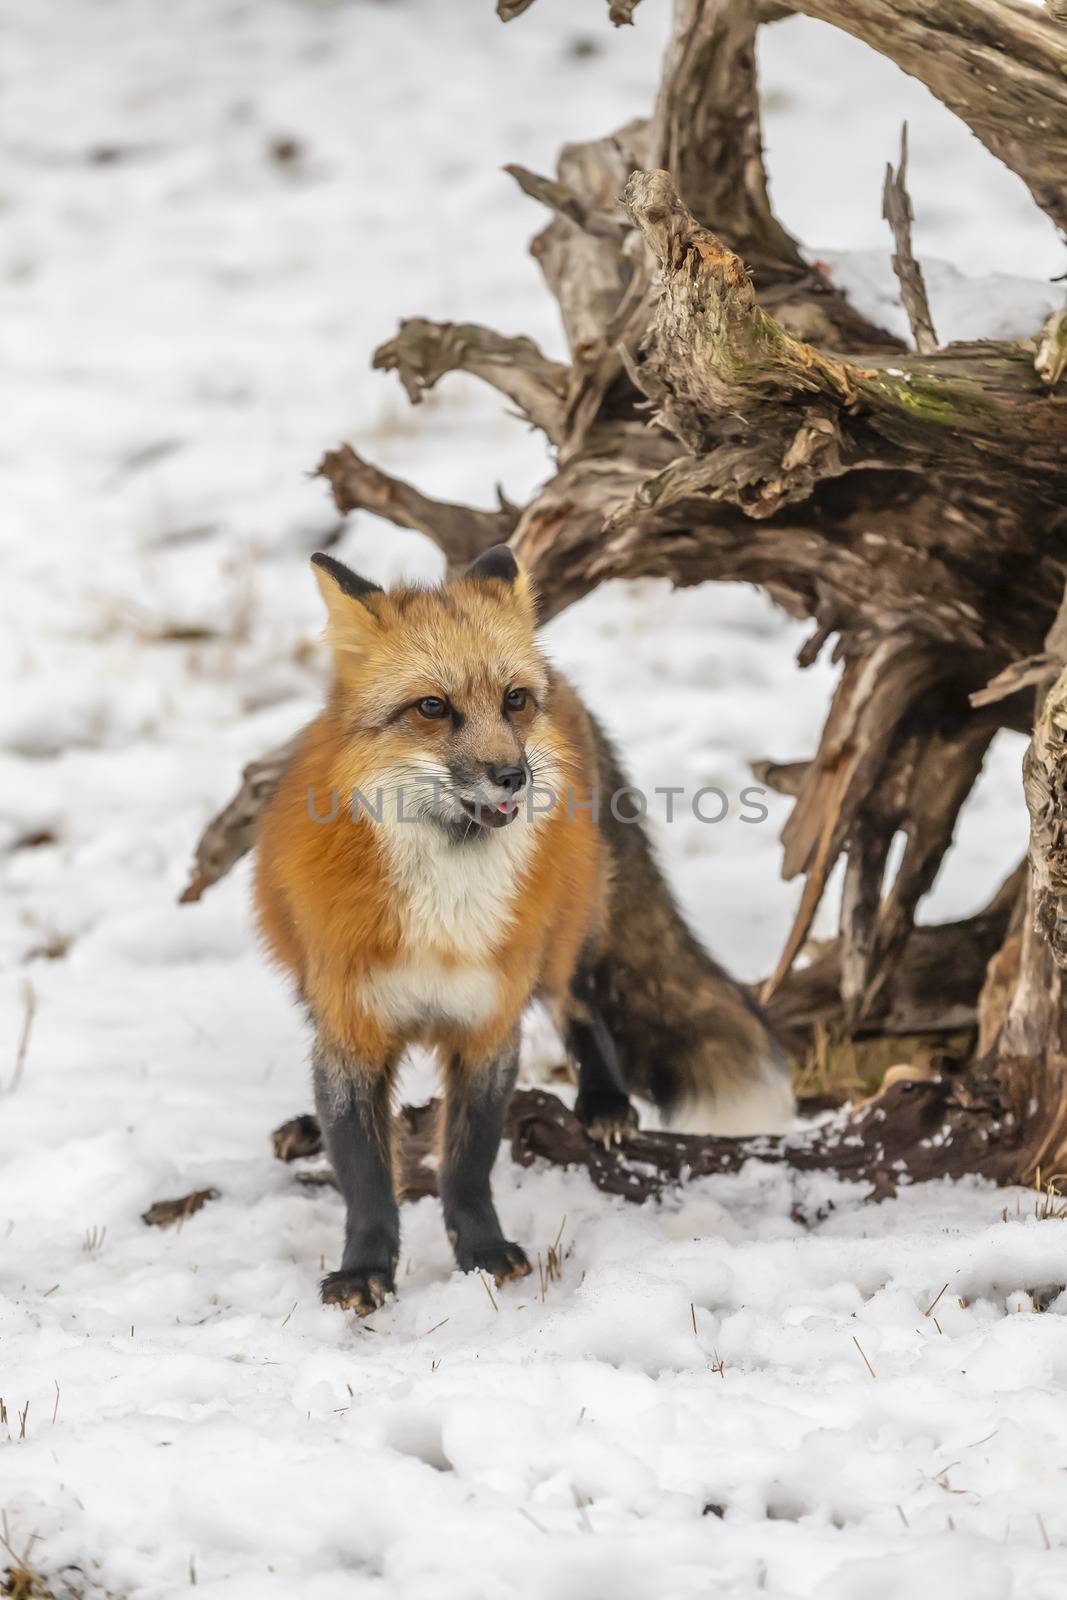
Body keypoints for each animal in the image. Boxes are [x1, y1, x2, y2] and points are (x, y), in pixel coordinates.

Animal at [254, 550, 790, 1312]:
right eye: (432, 707)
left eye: (513, 701)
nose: (512, 773)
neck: (446, 910)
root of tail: (566, 681)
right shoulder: (352, 1027)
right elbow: (364, 1173)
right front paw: (364, 1269)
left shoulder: (489, 1022)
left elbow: (470, 1159)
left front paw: (482, 1252)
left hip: (568, 932)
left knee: (579, 1001)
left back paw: (604, 1100)